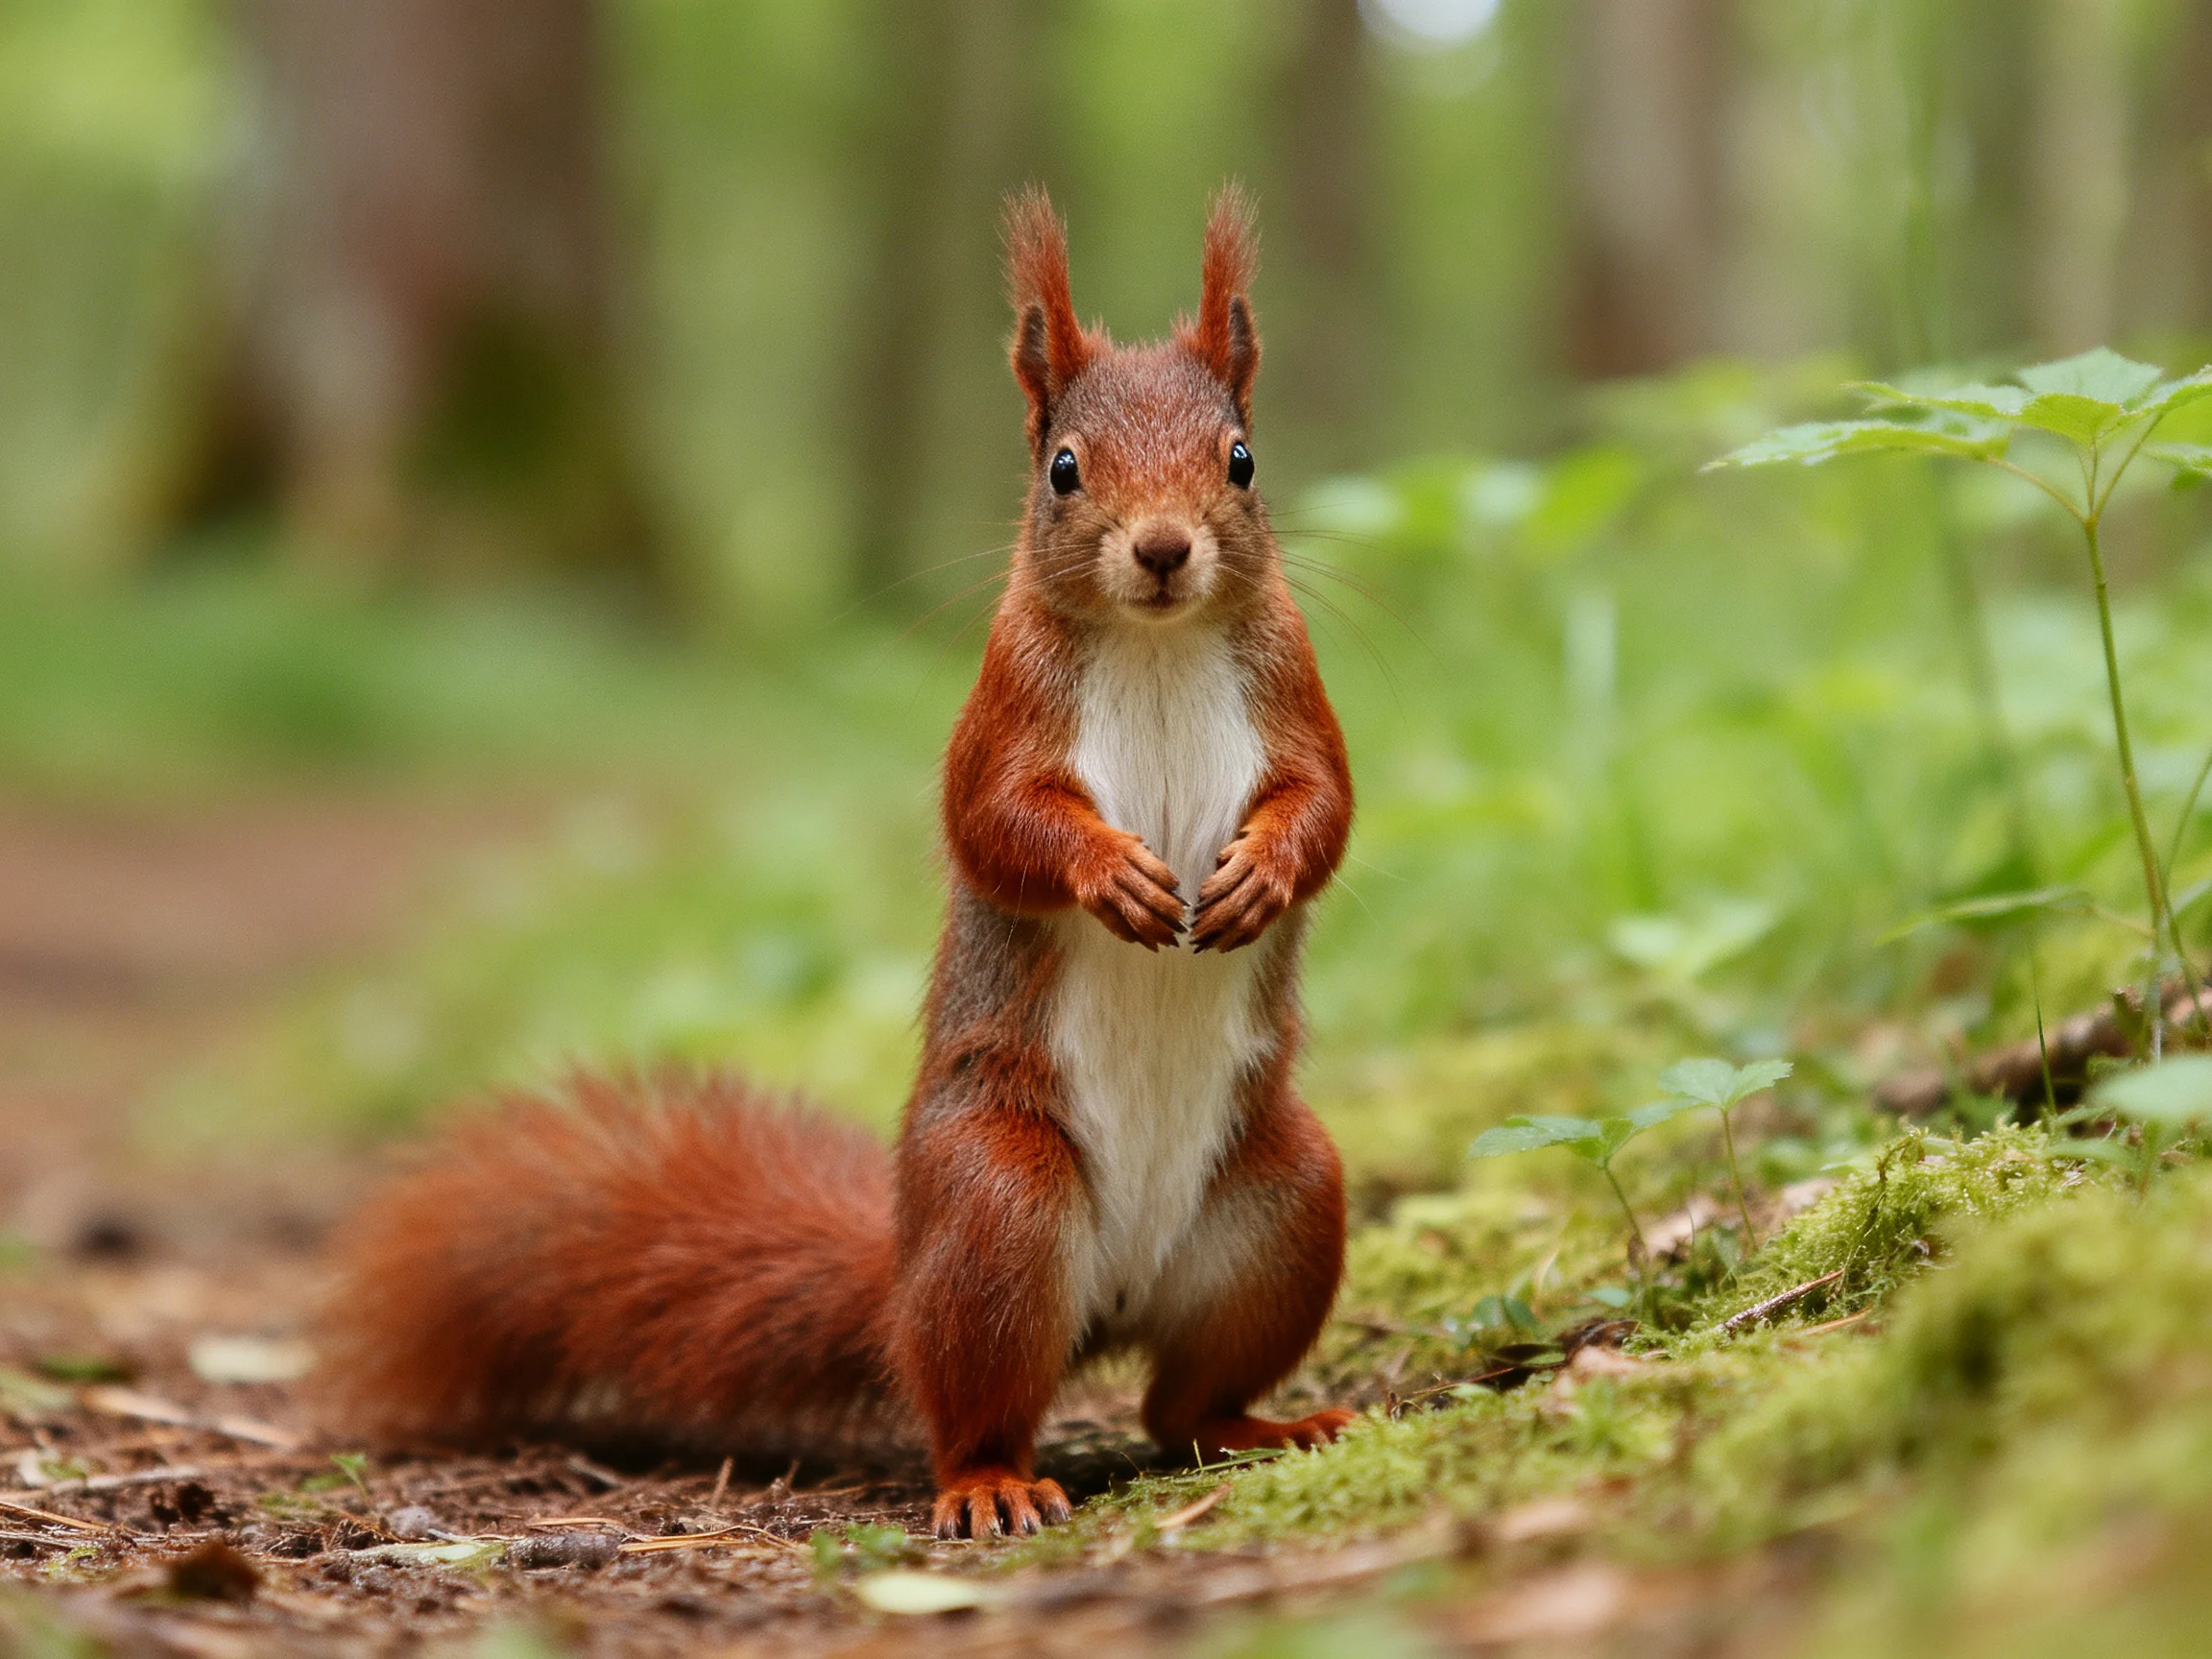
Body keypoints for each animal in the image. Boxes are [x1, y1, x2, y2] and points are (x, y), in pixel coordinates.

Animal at [317, 185, 1357, 1540]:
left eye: (1241, 459)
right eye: (1064, 468)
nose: (1166, 550)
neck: (1158, 644)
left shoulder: (1295, 692)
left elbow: (1326, 806)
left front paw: (1264, 875)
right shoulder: (1000, 713)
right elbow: (995, 824)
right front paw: (1108, 875)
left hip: (1285, 1201)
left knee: (1181, 1404)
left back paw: (1271, 1425)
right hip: (999, 1201)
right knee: (976, 1405)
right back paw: (991, 1484)